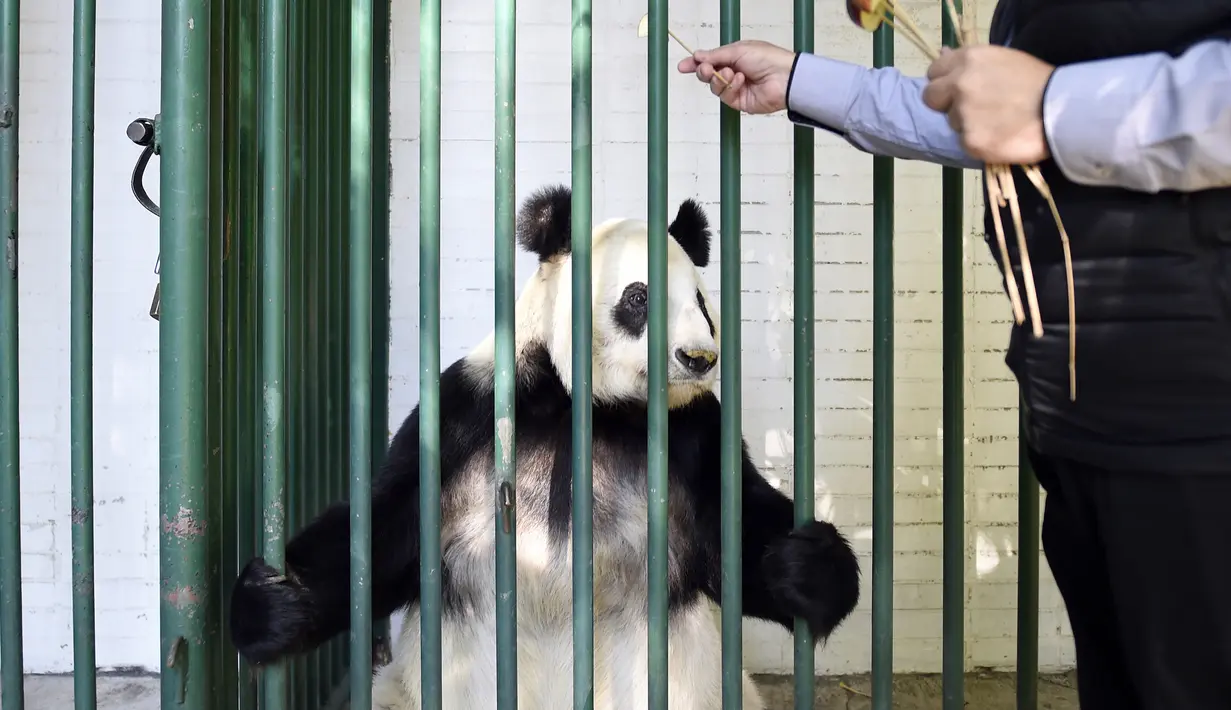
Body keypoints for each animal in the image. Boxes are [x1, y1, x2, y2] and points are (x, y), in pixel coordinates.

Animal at [228, 184, 861, 709]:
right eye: (639, 298)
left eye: (702, 303)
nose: (698, 358)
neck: (593, 407)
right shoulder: (464, 415)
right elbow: (383, 535)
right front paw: (273, 603)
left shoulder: (695, 437)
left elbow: (739, 533)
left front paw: (809, 567)